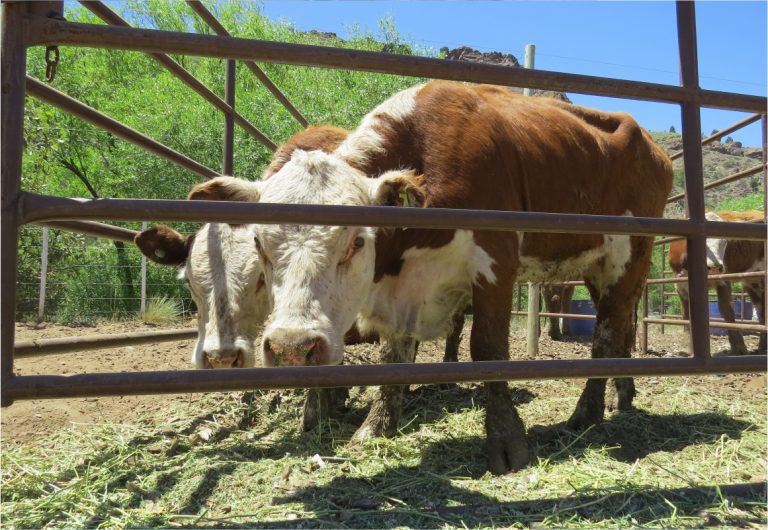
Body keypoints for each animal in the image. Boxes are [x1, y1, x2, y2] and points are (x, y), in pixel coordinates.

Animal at [183, 80, 668, 472]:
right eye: (259, 243)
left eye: (357, 241)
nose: (292, 347)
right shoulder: (404, 290)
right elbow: (394, 356)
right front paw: (376, 427)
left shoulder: (496, 261)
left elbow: (488, 350)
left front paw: (507, 442)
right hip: (599, 267)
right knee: (620, 324)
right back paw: (621, 394)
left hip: (630, 255)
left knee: (607, 331)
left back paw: (587, 412)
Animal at [668, 208, 764, 352]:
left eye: (725, 241)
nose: (714, 267)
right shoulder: (680, 286)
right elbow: (686, 314)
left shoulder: (723, 280)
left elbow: (726, 310)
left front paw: (738, 346)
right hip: (753, 280)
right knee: (761, 309)